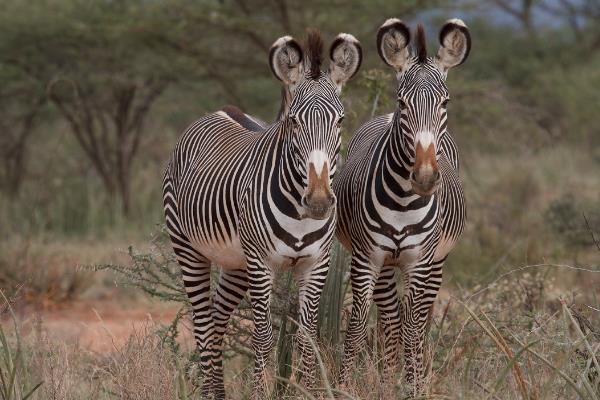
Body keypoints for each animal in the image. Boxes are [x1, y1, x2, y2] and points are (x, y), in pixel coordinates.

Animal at [162, 29, 360, 398]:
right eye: (293, 121)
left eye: (340, 120)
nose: (318, 201)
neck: (300, 214)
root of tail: (221, 110)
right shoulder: (260, 263)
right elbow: (264, 338)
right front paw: (260, 391)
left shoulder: (316, 263)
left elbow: (306, 338)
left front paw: (305, 390)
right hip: (189, 248)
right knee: (203, 324)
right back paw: (210, 393)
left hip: (235, 263)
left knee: (218, 322)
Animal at [336, 18, 472, 394]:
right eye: (402, 102)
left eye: (445, 102)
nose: (424, 177)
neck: (402, 201)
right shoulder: (367, 258)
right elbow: (357, 327)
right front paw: (342, 387)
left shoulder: (420, 261)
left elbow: (413, 328)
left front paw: (412, 387)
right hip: (385, 264)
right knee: (390, 319)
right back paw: (387, 378)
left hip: (437, 261)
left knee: (420, 321)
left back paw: (417, 374)